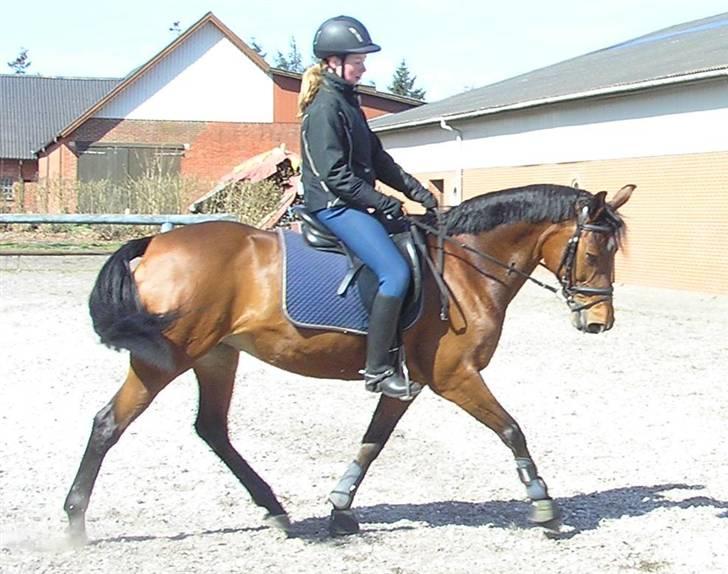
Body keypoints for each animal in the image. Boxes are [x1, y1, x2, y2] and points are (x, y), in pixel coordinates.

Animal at [64, 182, 632, 544]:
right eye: (595, 252)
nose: (600, 322)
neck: (468, 268)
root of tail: (156, 242)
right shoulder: (455, 377)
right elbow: (512, 430)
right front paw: (544, 504)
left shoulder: (410, 383)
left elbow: (372, 443)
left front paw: (339, 509)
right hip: (166, 359)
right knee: (108, 424)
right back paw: (74, 523)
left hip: (216, 356)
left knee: (212, 429)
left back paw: (275, 511)